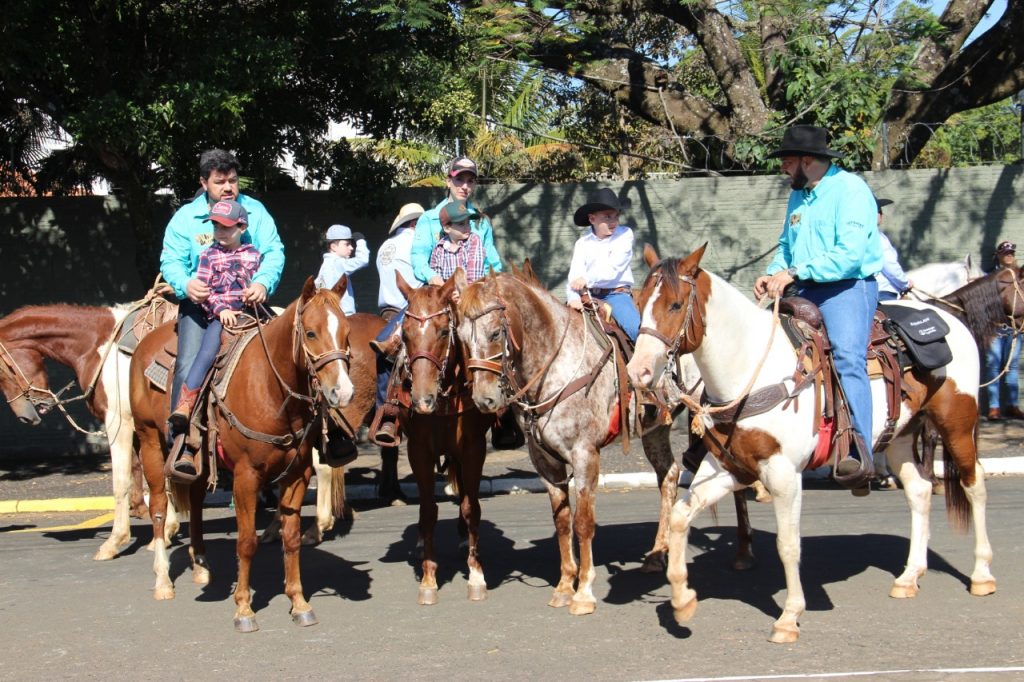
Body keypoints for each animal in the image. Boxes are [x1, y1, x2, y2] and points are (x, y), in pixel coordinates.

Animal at [0, 299, 175, 557]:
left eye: (3, 370)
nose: (26, 416)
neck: (99, 346)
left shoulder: (118, 422)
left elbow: (122, 481)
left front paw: (115, 541)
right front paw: (166, 531)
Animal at [128, 276, 356, 630]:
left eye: (346, 331)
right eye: (311, 332)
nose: (342, 392)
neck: (271, 389)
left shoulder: (297, 473)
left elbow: (291, 538)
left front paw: (299, 603)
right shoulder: (246, 476)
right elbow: (246, 541)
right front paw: (244, 609)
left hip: (198, 458)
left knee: (195, 501)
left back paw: (201, 565)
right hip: (150, 440)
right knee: (158, 507)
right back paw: (163, 580)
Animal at [391, 270, 491, 602]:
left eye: (445, 331)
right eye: (405, 333)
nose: (423, 400)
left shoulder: (473, 448)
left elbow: (472, 506)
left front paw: (476, 574)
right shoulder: (418, 451)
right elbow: (428, 510)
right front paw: (428, 576)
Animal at [456, 264, 688, 610]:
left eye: (496, 333)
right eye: (460, 338)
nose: (484, 400)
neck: (556, 366)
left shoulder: (585, 455)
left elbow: (583, 522)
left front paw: (584, 592)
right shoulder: (544, 460)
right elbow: (563, 519)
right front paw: (565, 585)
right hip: (655, 430)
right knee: (668, 476)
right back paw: (657, 555)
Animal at [626, 244, 995, 643]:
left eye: (676, 305)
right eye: (639, 301)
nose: (637, 372)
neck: (750, 368)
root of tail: (950, 320)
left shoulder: (784, 474)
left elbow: (788, 545)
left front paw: (789, 617)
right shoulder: (729, 467)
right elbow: (681, 516)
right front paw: (682, 599)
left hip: (958, 425)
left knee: (975, 487)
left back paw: (982, 575)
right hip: (901, 435)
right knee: (919, 491)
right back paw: (909, 577)